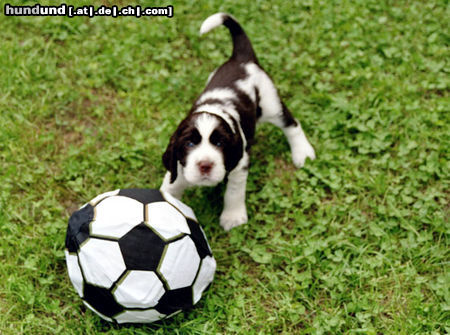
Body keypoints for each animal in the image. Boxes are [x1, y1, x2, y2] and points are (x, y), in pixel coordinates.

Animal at [162, 13, 316, 234]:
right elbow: (169, 190)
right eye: (189, 144)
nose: (205, 165)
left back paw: (302, 152)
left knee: (292, 124)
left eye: (219, 143)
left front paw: (232, 217)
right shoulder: (177, 168)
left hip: (270, 103)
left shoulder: (240, 163)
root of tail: (241, 58)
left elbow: (233, 192)